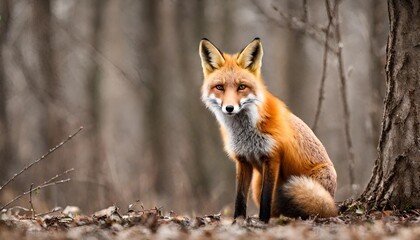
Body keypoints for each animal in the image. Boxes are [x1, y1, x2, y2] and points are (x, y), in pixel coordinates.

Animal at [198, 38, 338, 223]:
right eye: (220, 87)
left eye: (241, 87)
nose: (229, 108)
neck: (245, 134)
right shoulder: (242, 159)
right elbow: (239, 198)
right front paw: (238, 221)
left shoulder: (272, 157)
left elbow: (266, 198)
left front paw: (262, 222)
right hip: (257, 184)